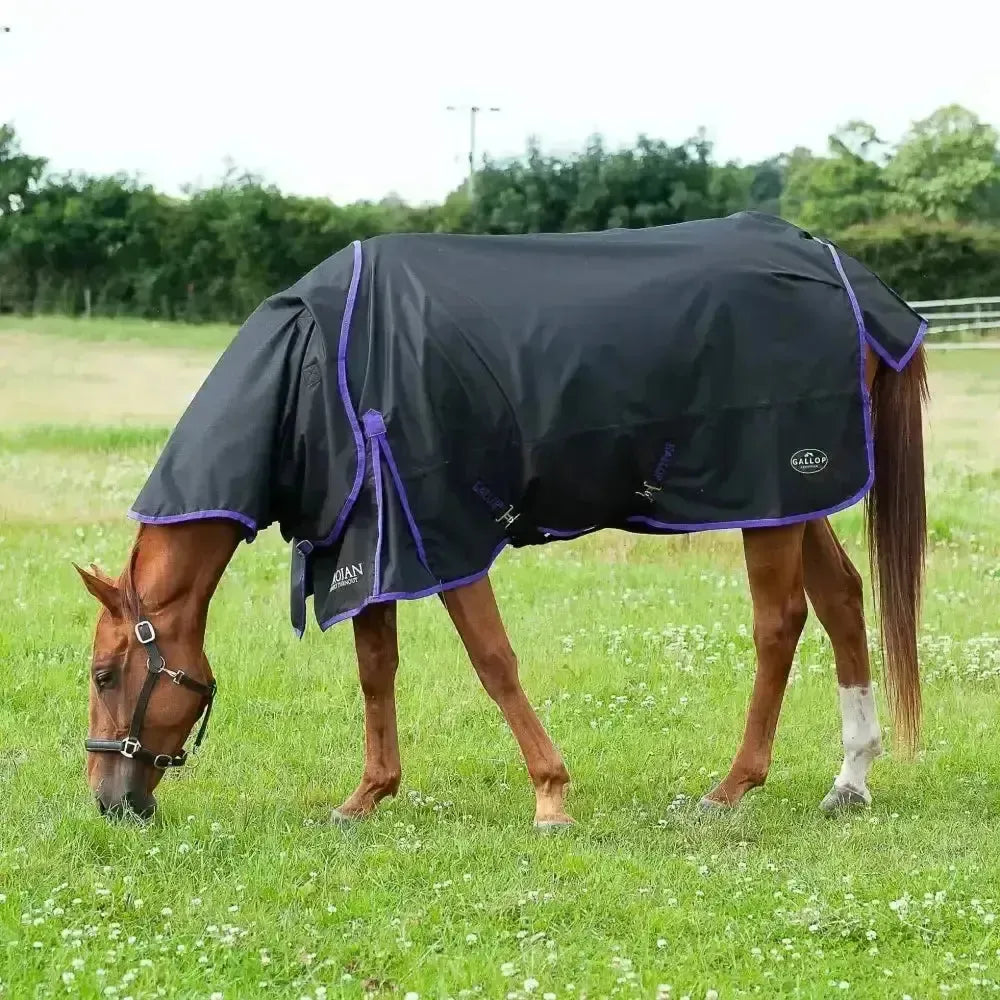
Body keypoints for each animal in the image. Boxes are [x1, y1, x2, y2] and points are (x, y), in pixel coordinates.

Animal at [75, 214, 928, 824]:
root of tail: (841, 272)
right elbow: (375, 669)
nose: (109, 801)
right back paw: (850, 779)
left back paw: (731, 788)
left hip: (772, 492)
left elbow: (493, 662)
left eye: (105, 673)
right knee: (843, 598)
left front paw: (550, 794)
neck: (314, 371)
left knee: (779, 622)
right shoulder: (368, 544)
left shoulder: (438, 533)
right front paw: (366, 796)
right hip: (794, 496)